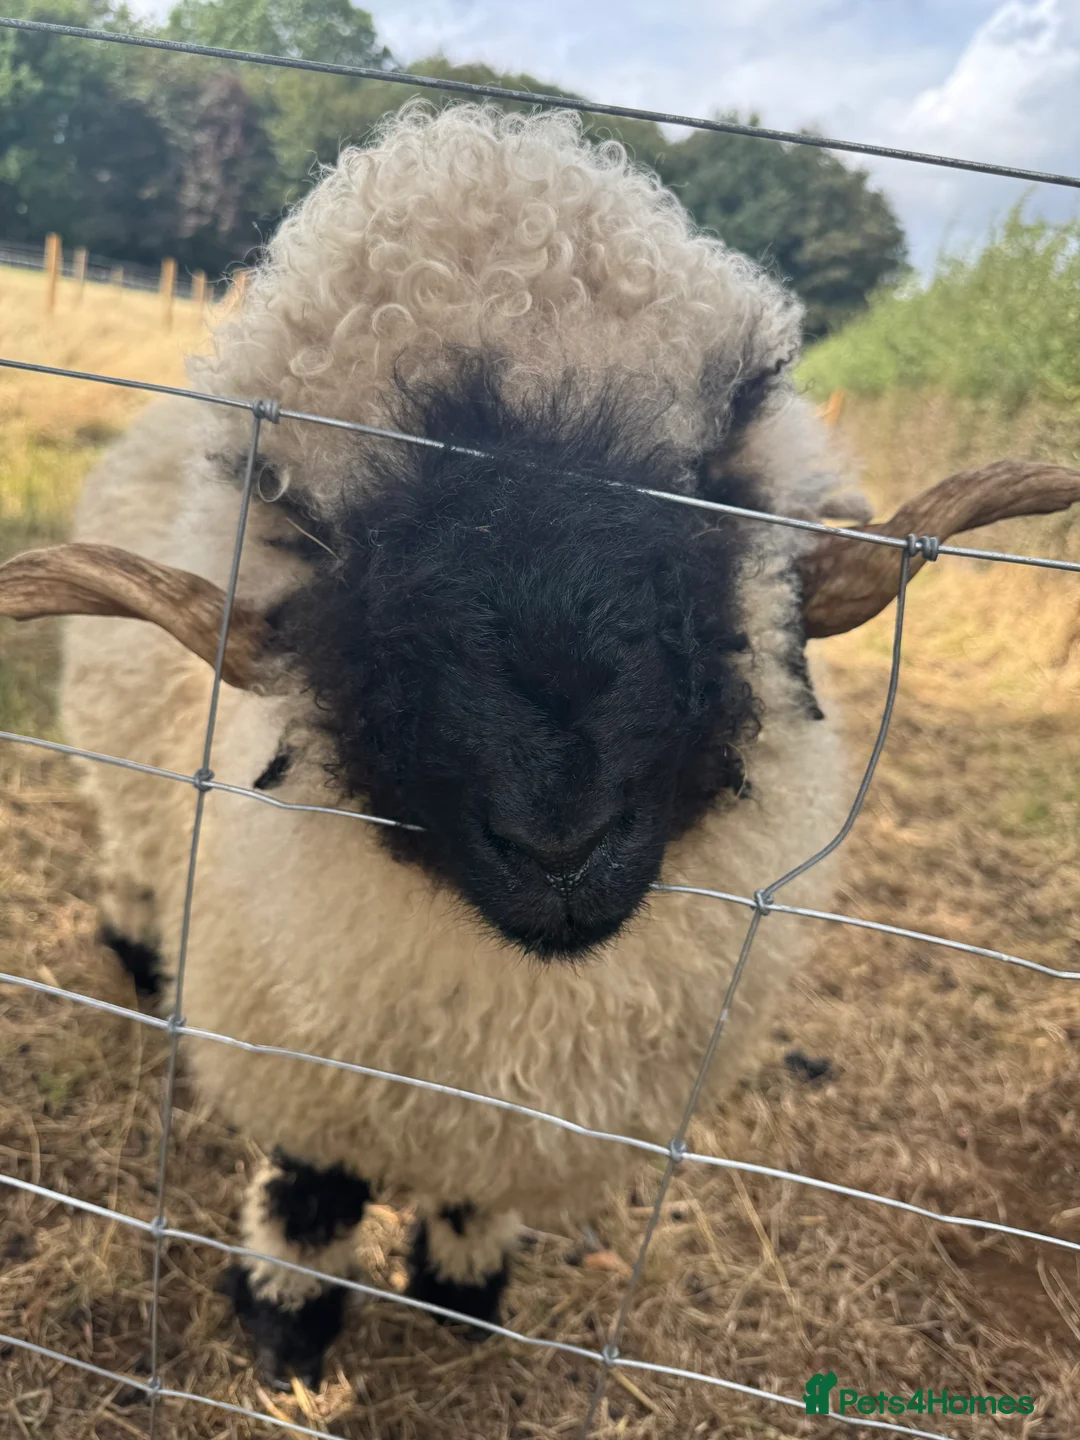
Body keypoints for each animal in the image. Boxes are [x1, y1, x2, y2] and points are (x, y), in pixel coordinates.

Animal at [1, 101, 1071, 1392]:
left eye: (714, 482)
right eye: (322, 530)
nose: (561, 847)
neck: (514, 1007)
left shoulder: (528, 1109)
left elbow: (479, 1201)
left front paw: (464, 1290)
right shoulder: (301, 1057)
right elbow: (312, 1197)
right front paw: (288, 1333)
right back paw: (137, 957)